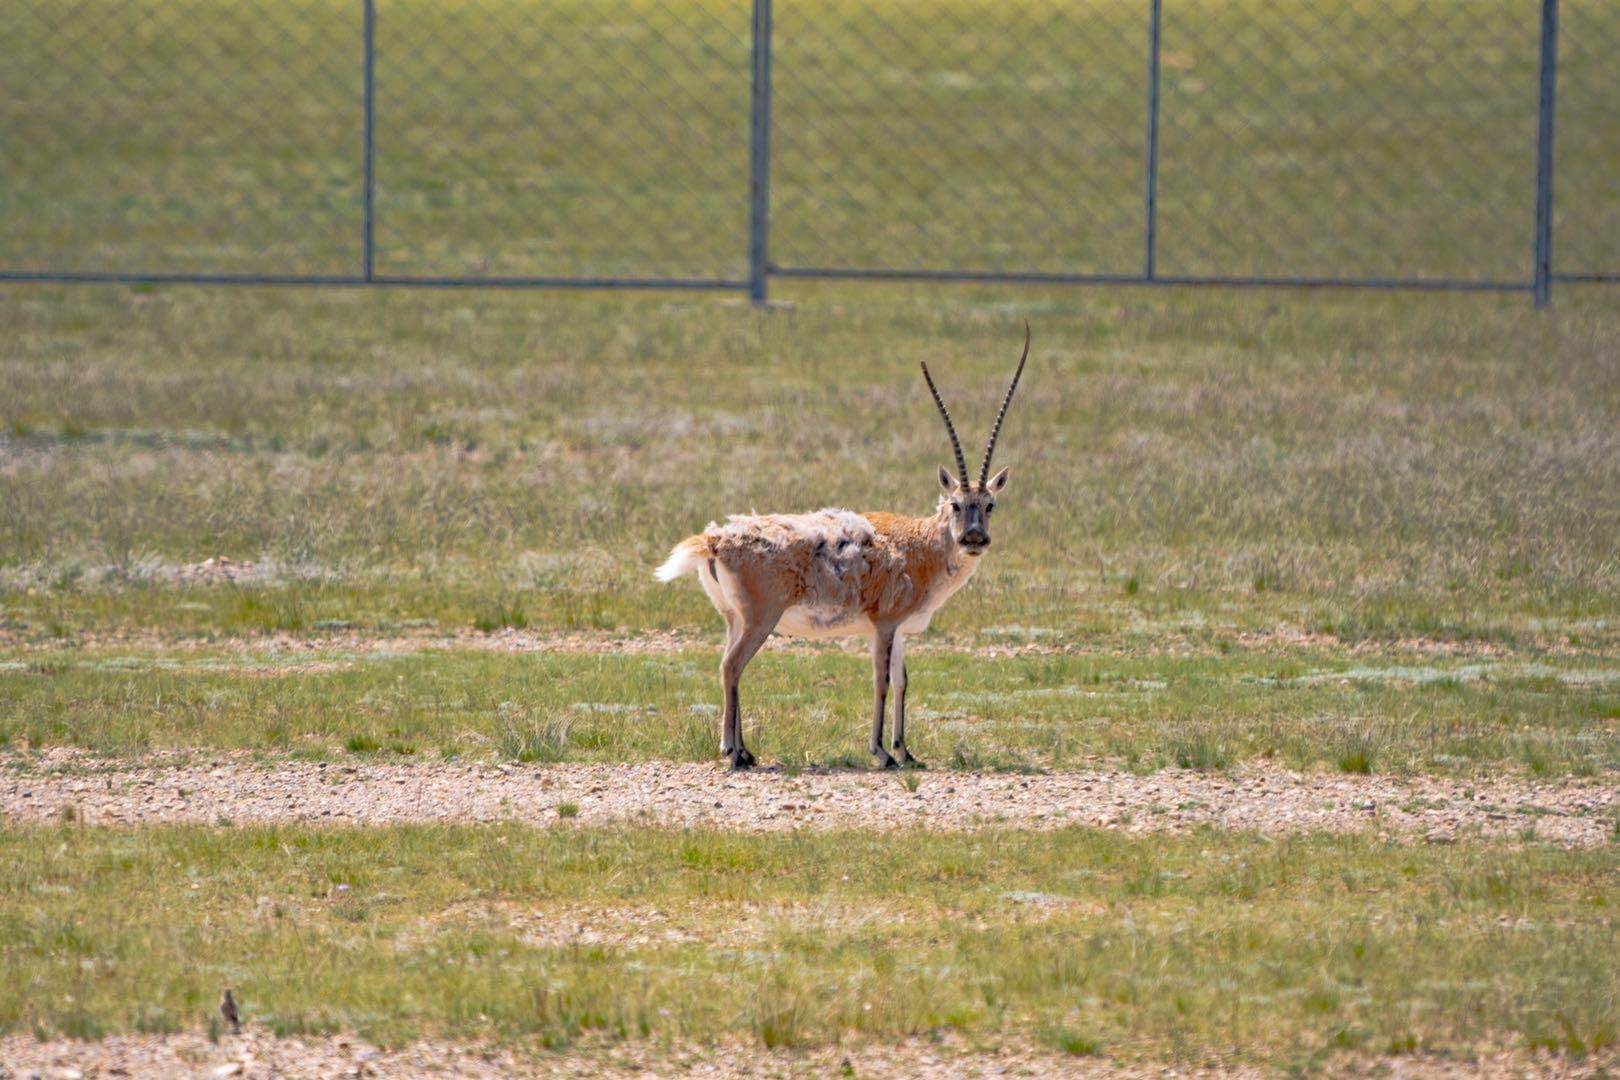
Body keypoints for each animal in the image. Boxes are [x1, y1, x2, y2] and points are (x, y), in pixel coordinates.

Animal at [655, 325, 1031, 770]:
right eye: (955, 504)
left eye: (989, 505)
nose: (973, 538)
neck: (919, 543)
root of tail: (715, 538)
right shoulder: (884, 625)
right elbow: (881, 681)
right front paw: (882, 752)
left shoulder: (900, 630)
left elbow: (903, 681)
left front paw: (906, 751)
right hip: (760, 619)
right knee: (732, 666)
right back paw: (734, 753)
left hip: (734, 619)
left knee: (732, 665)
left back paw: (744, 749)